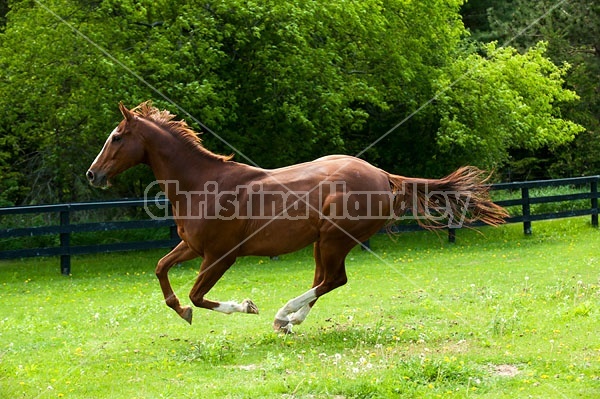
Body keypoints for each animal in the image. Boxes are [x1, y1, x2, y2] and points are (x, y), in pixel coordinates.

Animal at [85, 101, 506, 332]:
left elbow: (198, 295)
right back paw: (288, 321)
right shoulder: (191, 246)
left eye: (117, 137)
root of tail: (384, 176)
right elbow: (161, 270)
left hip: (336, 238)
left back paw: (283, 314)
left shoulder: (221, 255)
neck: (202, 184)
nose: (92, 174)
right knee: (324, 280)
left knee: (333, 279)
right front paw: (182, 312)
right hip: (324, 241)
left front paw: (245, 306)